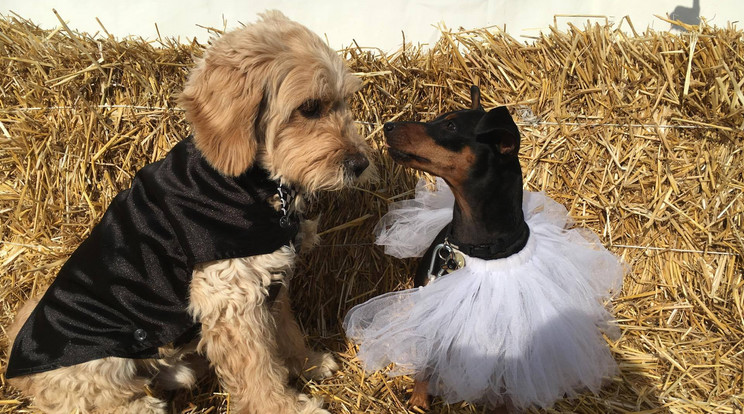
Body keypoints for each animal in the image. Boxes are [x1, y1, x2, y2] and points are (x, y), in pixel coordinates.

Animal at [5, 11, 372, 412]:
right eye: (309, 108)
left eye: (345, 100)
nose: (361, 164)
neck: (252, 184)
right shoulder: (231, 297)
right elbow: (258, 369)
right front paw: (283, 406)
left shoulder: (272, 281)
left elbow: (286, 332)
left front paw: (307, 362)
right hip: (102, 359)